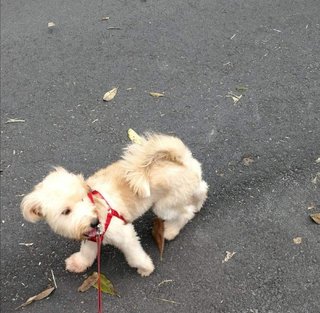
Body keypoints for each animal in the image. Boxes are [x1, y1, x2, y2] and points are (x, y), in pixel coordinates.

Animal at [21, 133, 209, 274]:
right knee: (202, 188)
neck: (98, 208)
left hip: (164, 206)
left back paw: (171, 230)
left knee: (186, 213)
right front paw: (79, 263)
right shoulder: (93, 237)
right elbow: (87, 253)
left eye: (83, 198)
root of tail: (180, 158)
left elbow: (134, 256)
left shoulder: (124, 234)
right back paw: (198, 203)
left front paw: (145, 268)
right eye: (66, 211)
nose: (94, 222)